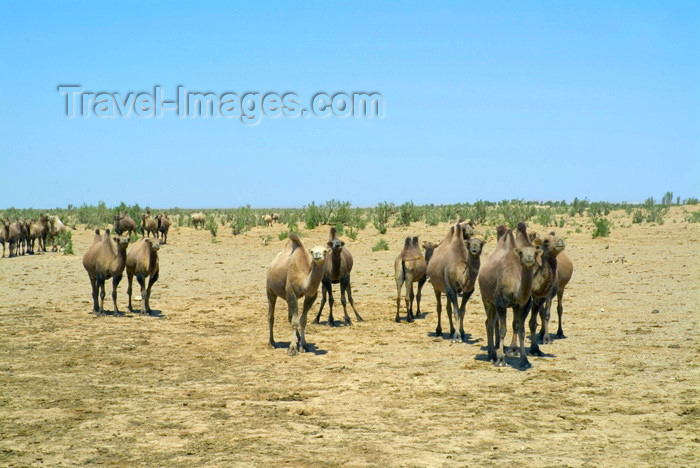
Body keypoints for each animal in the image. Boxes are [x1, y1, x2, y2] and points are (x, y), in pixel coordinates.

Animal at [478, 227, 540, 370]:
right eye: (521, 252)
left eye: (535, 252)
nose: (529, 258)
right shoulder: (501, 303)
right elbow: (502, 330)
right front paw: (501, 360)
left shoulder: (523, 305)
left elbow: (520, 330)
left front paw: (524, 360)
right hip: (486, 299)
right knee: (489, 323)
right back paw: (492, 355)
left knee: (490, 322)